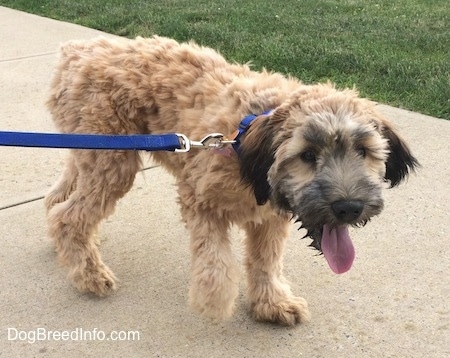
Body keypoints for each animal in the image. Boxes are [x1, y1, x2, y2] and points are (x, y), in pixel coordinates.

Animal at [44, 35, 418, 324]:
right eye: (308, 155)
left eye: (363, 150)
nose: (349, 208)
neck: (243, 143)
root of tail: (76, 51)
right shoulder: (198, 197)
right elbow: (216, 260)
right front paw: (215, 301)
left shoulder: (270, 218)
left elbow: (266, 261)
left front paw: (272, 303)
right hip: (113, 161)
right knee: (69, 216)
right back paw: (90, 274)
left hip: (93, 151)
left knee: (57, 200)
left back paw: (67, 248)